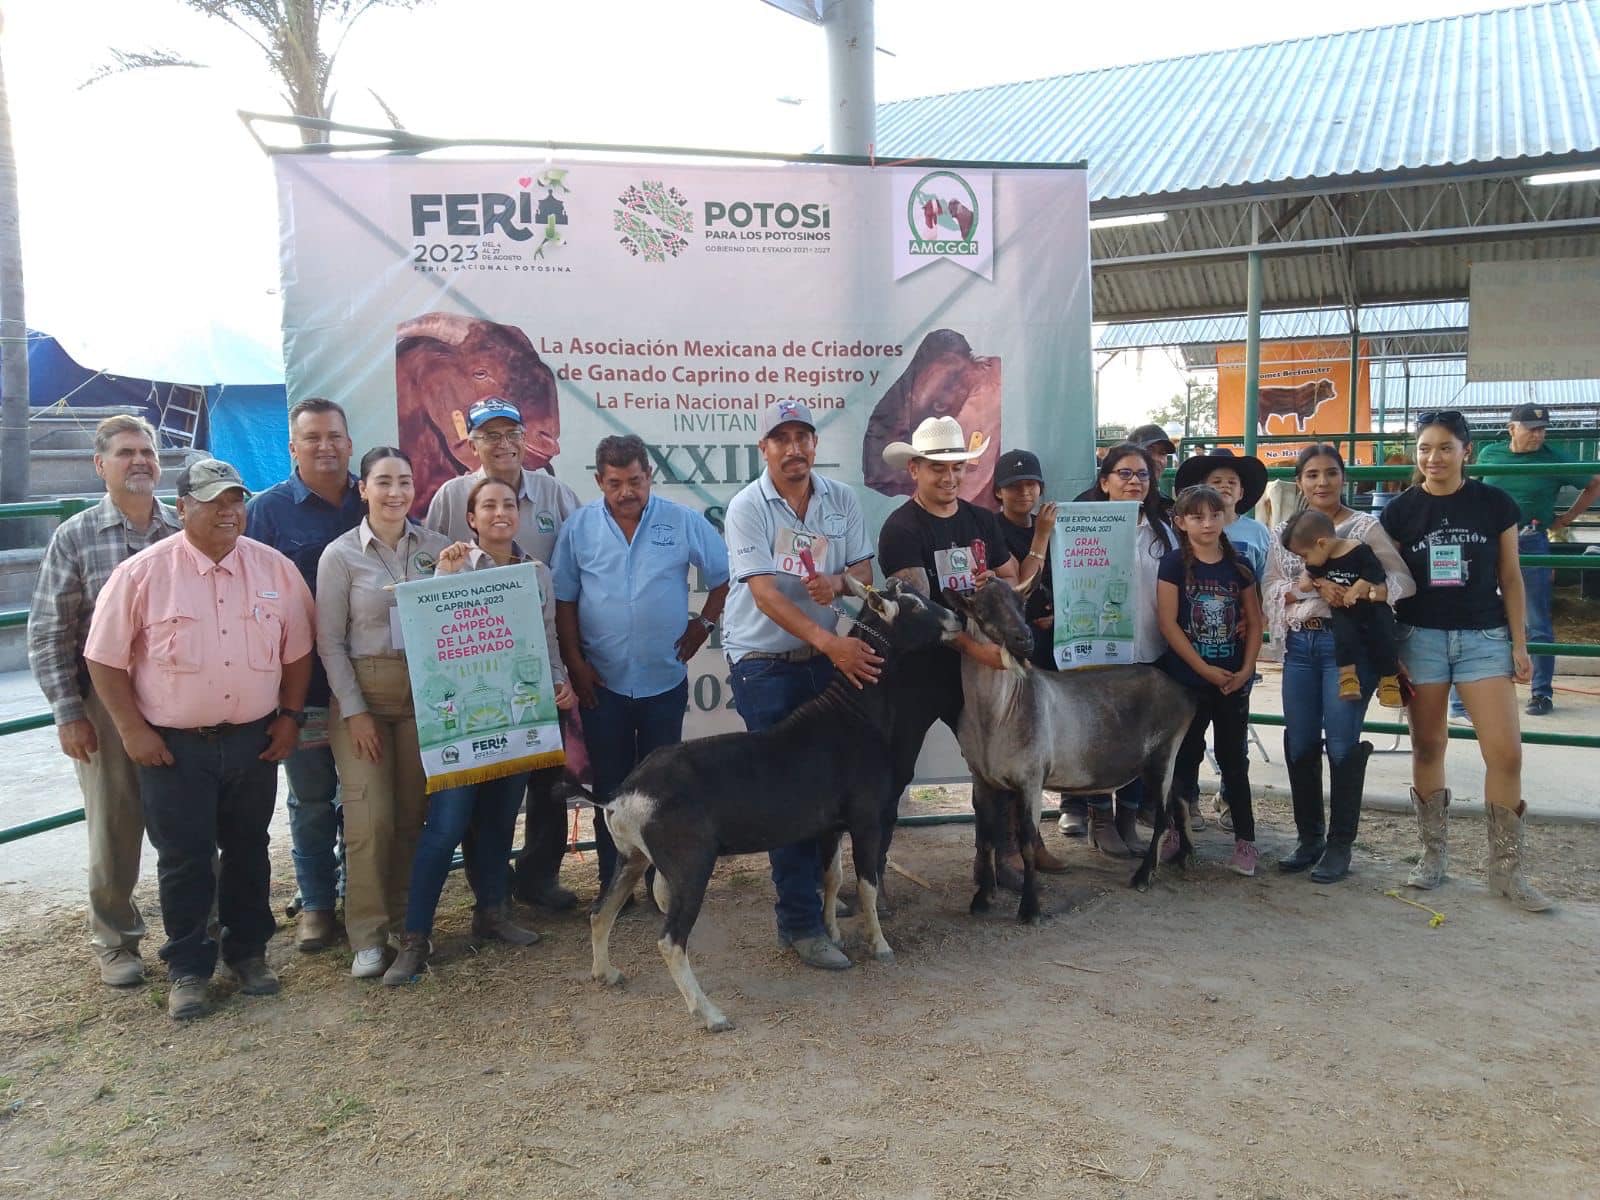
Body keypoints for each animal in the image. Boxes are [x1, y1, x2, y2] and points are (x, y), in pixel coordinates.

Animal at [585, 576, 960, 1036]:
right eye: (913, 605)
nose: (956, 618)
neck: (855, 716)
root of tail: (621, 795)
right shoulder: (867, 819)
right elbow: (867, 885)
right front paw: (881, 945)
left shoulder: (830, 825)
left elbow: (832, 878)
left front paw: (833, 936)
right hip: (689, 863)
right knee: (670, 940)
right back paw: (710, 1014)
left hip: (631, 856)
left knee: (601, 913)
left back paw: (606, 973)